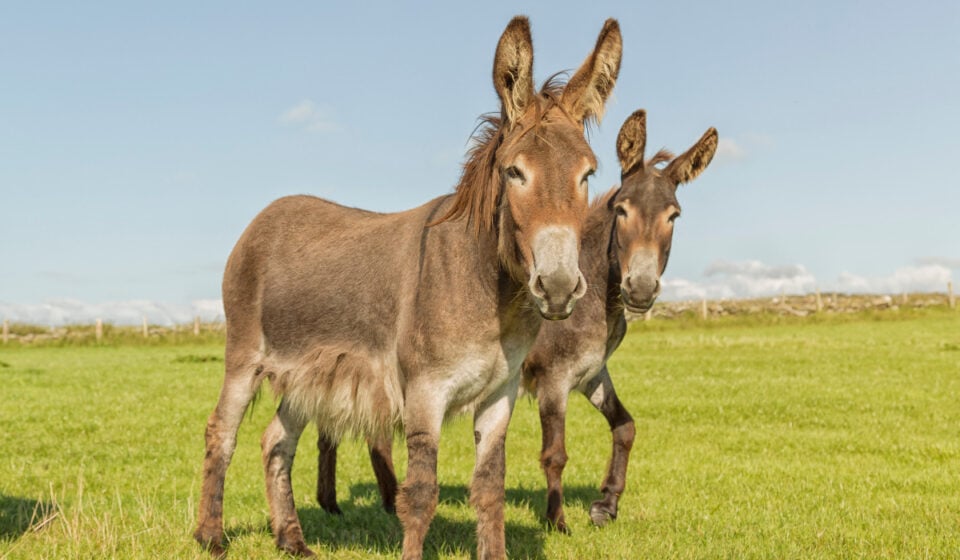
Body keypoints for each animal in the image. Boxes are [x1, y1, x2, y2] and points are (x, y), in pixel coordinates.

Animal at [193, 16, 622, 559]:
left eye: (588, 174)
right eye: (514, 172)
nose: (560, 287)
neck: (486, 290)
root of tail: (266, 214)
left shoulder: (500, 395)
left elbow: (490, 488)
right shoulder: (424, 392)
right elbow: (420, 493)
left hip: (307, 375)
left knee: (275, 440)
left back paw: (291, 538)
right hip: (246, 355)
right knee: (221, 431)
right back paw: (210, 536)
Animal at [313, 110, 718, 535]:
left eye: (673, 216)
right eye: (621, 210)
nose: (639, 290)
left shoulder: (592, 373)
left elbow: (625, 427)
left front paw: (605, 505)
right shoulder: (554, 379)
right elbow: (555, 452)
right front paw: (557, 520)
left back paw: (344, 502)